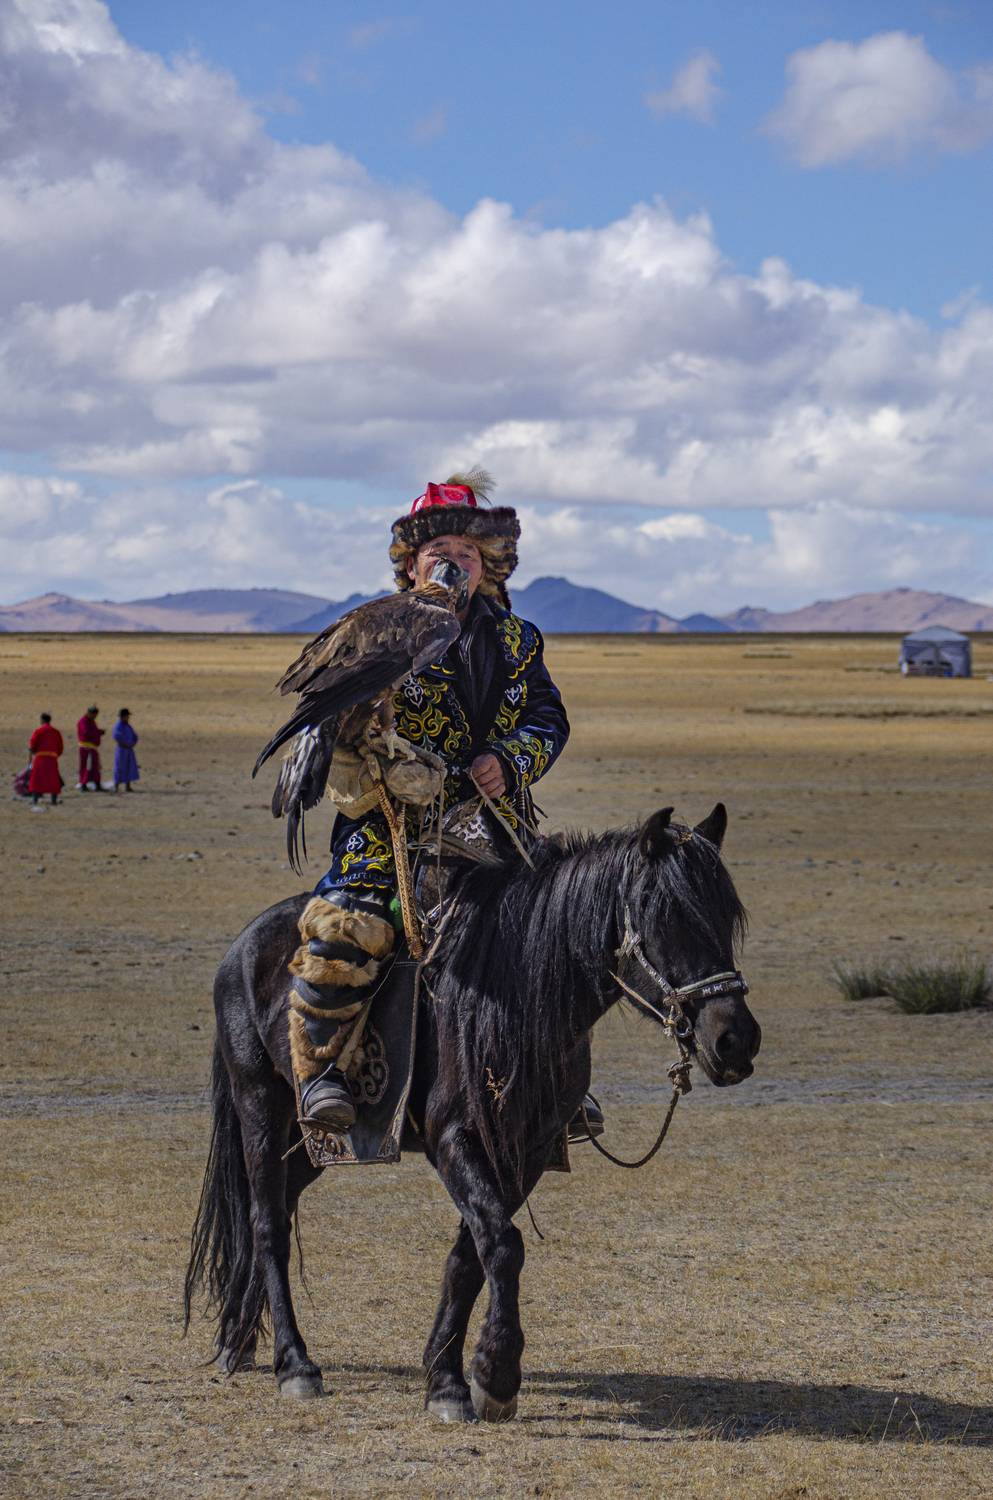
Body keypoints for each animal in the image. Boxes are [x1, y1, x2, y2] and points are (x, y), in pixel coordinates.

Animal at [184, 803, 761, 1422]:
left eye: (725, 917)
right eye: (662, 915)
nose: (735, 1040)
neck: (517, 991)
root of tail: (241, 947)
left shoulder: (525, 1148)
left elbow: (471, 1255)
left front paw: (445, 1377)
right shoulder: (453, 1138)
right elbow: (503, 1244)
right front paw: (495, 1375)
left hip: (314, 1141)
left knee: (277, 1208)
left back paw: (237, 1339)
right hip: (260, 1105)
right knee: (266, 1222)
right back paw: (293, 1364)